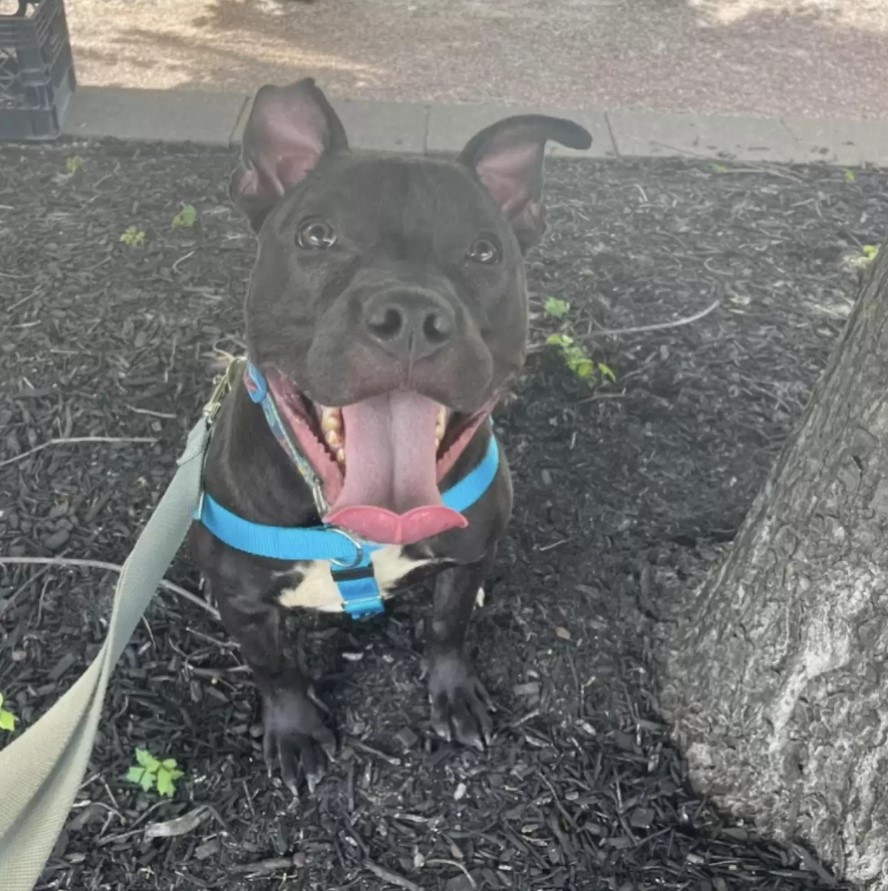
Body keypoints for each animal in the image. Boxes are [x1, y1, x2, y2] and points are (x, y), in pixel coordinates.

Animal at [191, 82, 588, 796]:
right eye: (315, 235)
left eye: (485, 251)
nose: (410, 313)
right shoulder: (249, 607)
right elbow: (274, 667)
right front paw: (295, 731)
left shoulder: (468, 554)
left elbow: (448, 627)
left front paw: (454, 693)